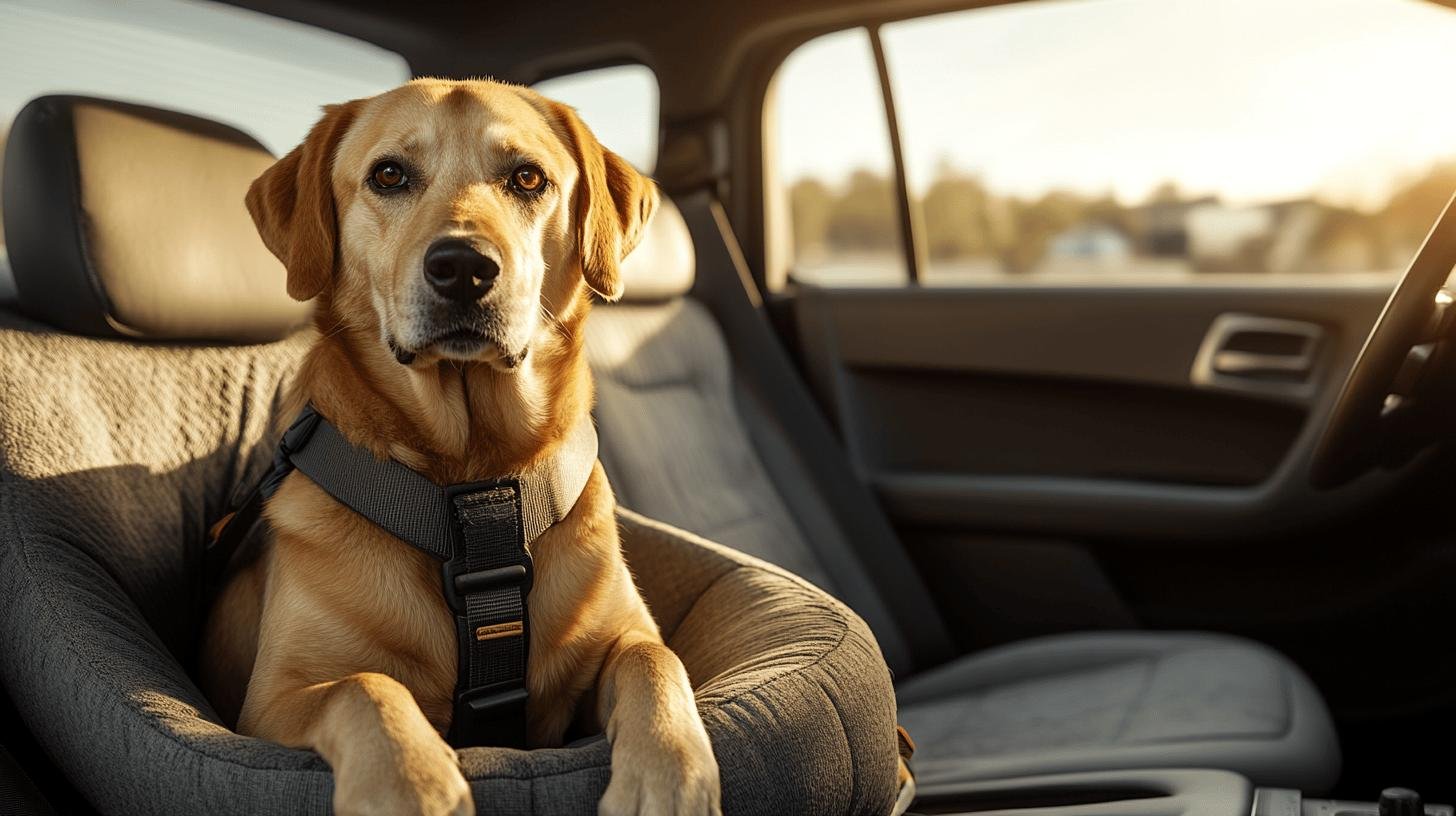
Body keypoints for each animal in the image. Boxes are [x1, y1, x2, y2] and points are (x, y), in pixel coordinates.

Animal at [202, 77, 725, 816]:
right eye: (389, 175)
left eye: (528, 178)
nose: (463, 268)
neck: (475, 478)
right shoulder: (273, 701)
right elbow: (367, 687)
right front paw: (412, 784)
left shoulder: (622, 637)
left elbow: (655, 658)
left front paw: (670, 771)